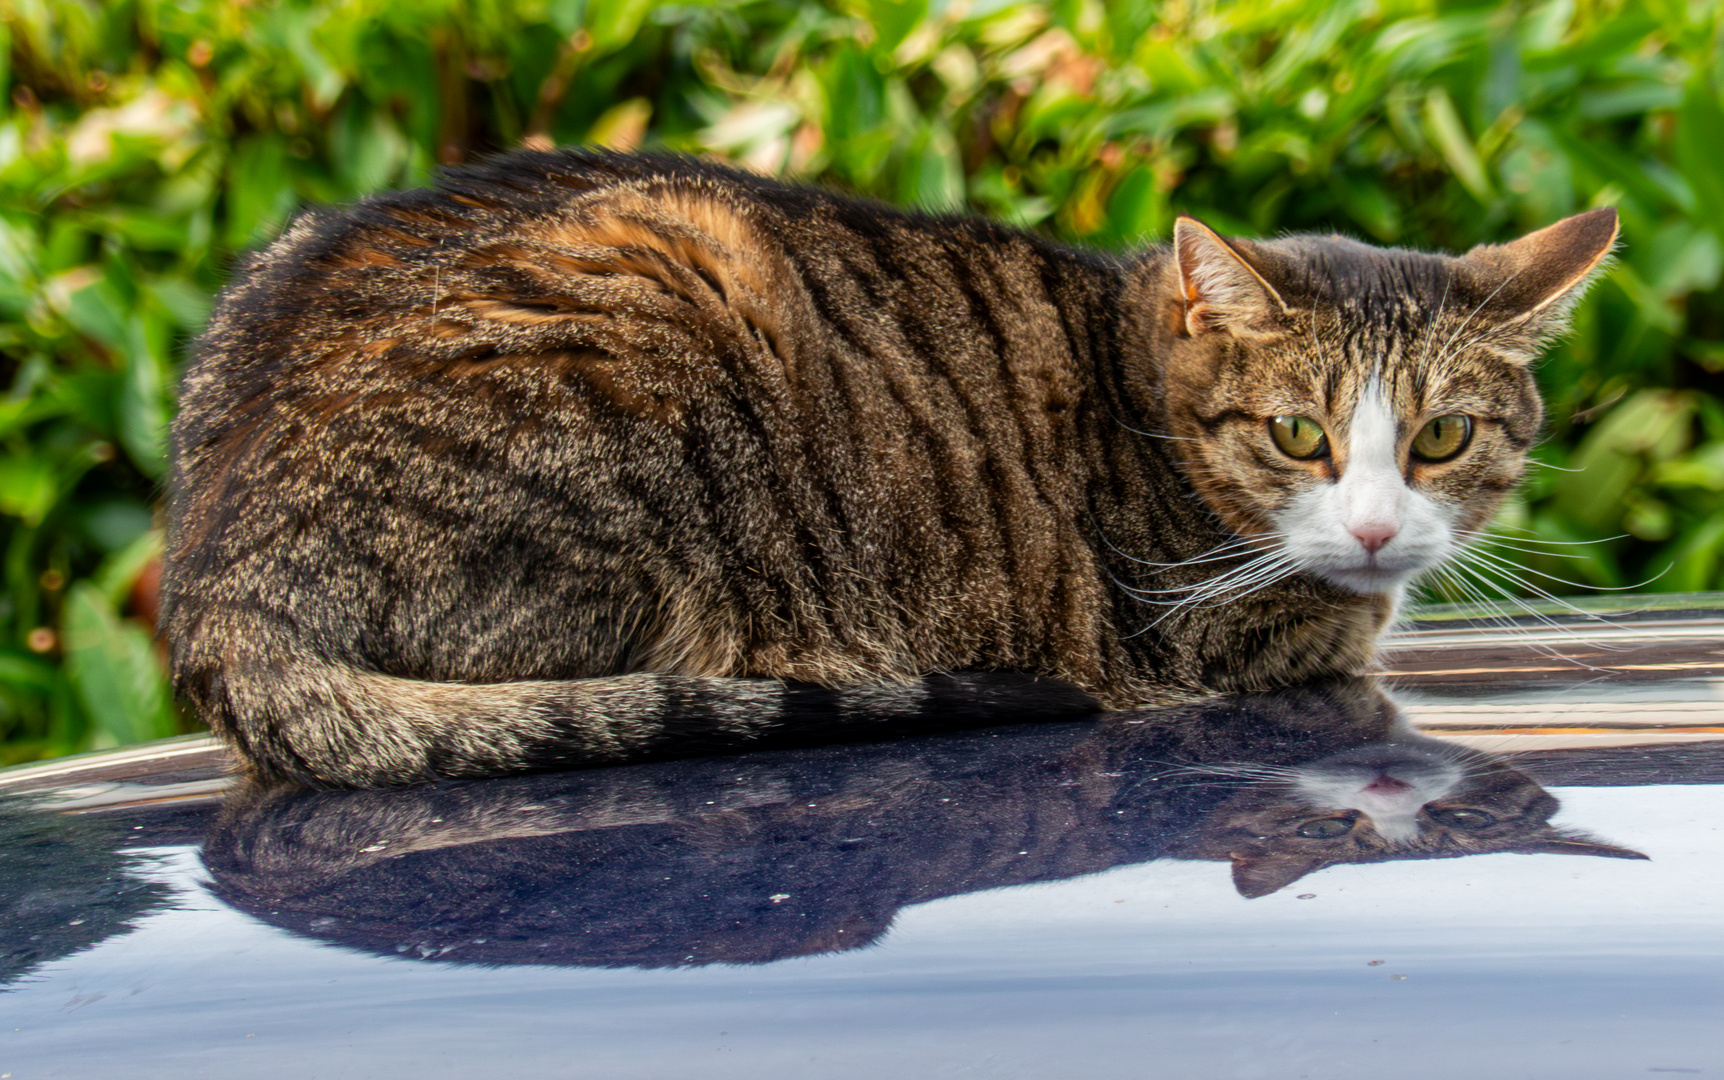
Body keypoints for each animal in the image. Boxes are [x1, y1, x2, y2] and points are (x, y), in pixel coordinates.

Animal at [158, 147, 1613, 783]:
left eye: (1440, 437)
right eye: (1297, 436)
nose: (1371, 531)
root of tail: (215, 592)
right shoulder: (1228, 639)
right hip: (692, 269)